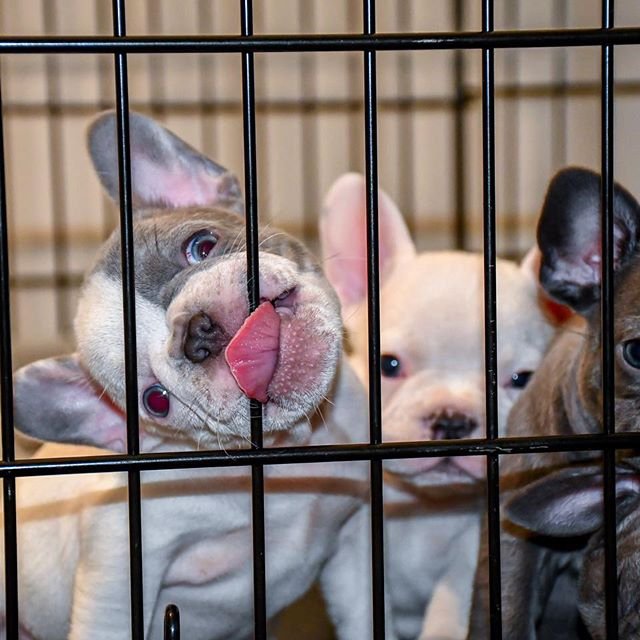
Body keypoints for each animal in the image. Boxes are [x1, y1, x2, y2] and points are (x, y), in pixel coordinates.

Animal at [2, 112, 380, 640]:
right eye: (156, 400)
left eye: (201, 245)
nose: (200, 332)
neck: (279, 458)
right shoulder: (118, 578)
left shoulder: (357, 543)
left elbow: (366, 613)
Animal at [322, 175, 556, 640]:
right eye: (388, 364)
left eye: (521, 380)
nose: (451, 419)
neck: (427, 503)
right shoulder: (361, 548)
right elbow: (366, 607)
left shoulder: (474, 547)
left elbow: (452, 604)